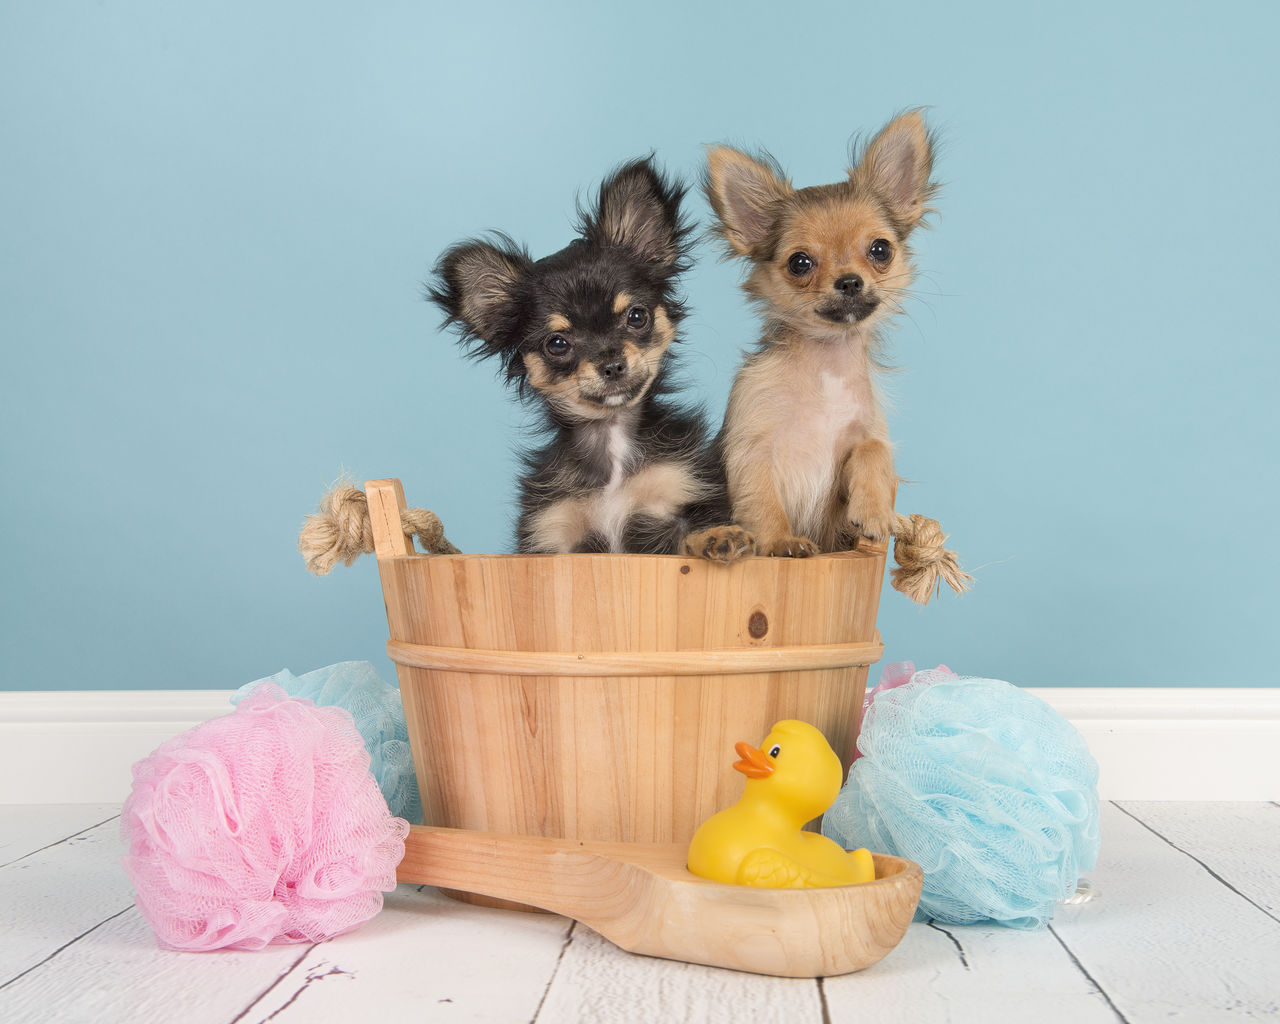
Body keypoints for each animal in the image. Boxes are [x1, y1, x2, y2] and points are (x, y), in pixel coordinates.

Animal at [430, 160, 742, 555]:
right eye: (557, 344)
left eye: (636, 316)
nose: (611, 365)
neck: (611, 443)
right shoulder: (553, 535)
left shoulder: (680, 491)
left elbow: (698, 529)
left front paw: (718, 538)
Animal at [696, 110, 936, 555]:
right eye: (800, 263)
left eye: (880, 250)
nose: (849, 282)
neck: (827, 366)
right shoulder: (750, 448)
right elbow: (763, 500)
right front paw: (780, 542)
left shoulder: (866, 430)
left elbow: (875, 449)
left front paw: (873, 511)